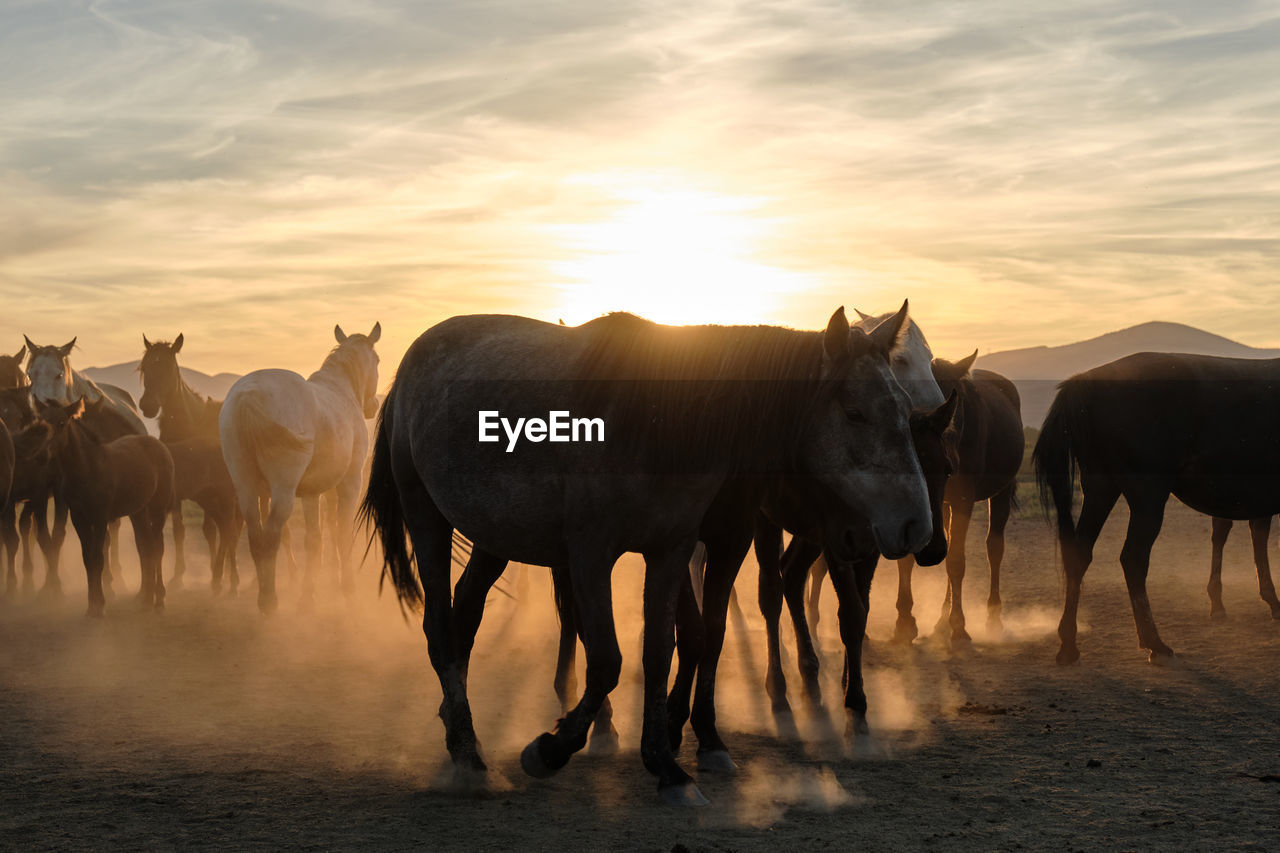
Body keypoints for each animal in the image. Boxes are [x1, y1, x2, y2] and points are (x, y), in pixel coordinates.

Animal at [17, 399, 174, 612]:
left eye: (61, 423)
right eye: (41, 422)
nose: (41, 456)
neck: (87, 469)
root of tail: (159, 445)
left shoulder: (100, 518)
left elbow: (98, 557)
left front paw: (100, 605)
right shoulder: (79, 518)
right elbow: (88, 558)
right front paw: (92, 603)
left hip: (157, 509)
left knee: (157, 548)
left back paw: (159, 597)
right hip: (139, 511)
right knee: (146, 548)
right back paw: (146, 597)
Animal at [221, 322, 378, 607]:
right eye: (378, 360)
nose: (372, 406)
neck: (341, 390)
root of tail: (248, 395)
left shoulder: (314, 491)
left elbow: (315, 538)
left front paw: (311, 591)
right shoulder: (350, 482)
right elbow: (342, 532)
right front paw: (347, 587)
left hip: (246, 487)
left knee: (256, 535)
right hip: (283, 490)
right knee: (272, 534)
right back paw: (268, 601)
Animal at [1034, 348, 1280, 660]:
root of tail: (1087, 381)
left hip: (1101, 490)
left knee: (1080, 554)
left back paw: (1069, 643)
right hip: (1147, 498)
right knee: (1133, 559)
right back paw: (1153, 641)